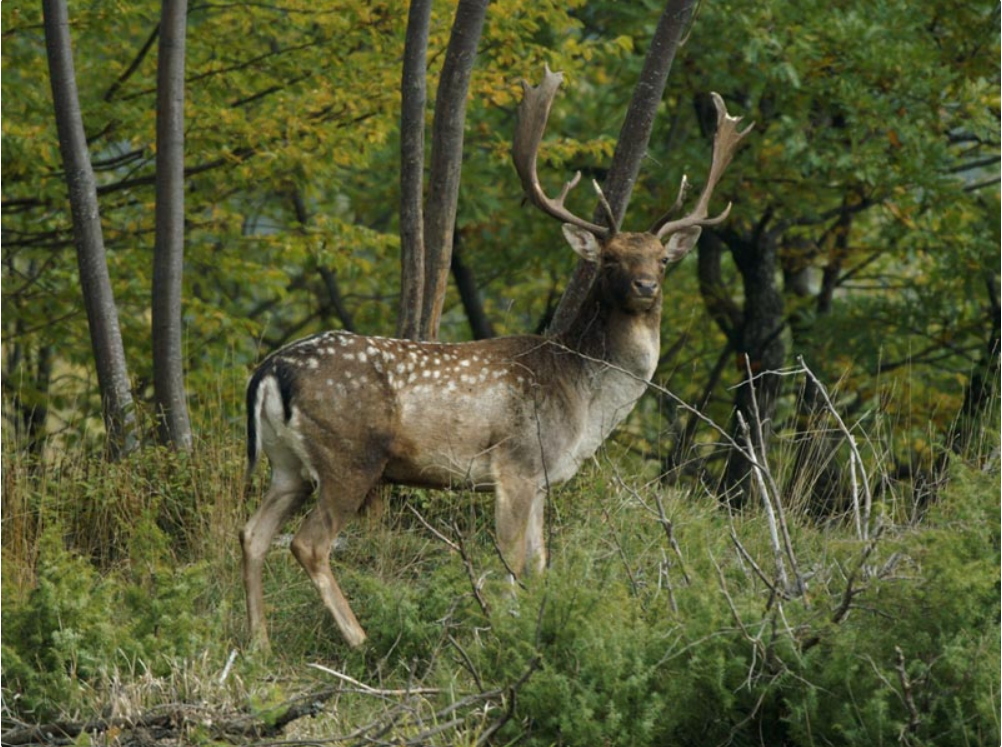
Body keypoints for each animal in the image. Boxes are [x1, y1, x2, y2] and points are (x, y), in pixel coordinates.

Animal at [238, 65, 749, 644]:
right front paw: (503, 632)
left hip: (288, 465)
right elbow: (511, 562)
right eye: (611, 259)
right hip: (349, 456)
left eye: (662, 259)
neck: (584, 399)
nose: (645, 286)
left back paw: (258, 643)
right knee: (309, 543)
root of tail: (269, 370)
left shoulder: (545, 479)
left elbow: (542, 562)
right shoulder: (516, 465)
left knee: (252, 534)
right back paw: (359, 639)